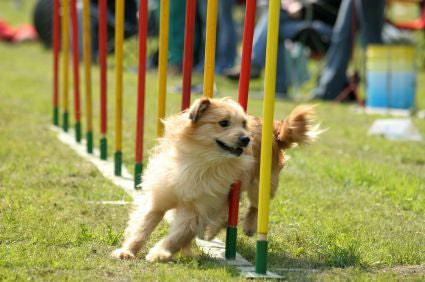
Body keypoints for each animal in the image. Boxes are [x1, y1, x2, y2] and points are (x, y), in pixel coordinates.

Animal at [111, 97, 253, 262]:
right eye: (224, 123)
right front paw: (128, 251)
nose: (246, 139)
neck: (203, 161)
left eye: (244, 124)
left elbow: (179, 235)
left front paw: (160, 253)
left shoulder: (197, 210)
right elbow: (142, 227)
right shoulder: (158, 199)